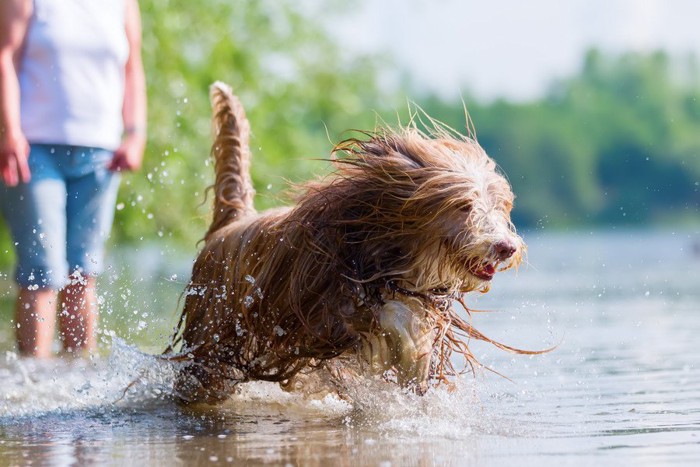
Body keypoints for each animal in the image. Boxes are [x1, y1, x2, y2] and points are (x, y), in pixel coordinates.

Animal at [170, 82, 528, 404]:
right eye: (463, 205)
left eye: (500, 206)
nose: (505, 247)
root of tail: (233, 221)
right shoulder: (325, 312)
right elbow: (387, 319)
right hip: (215, 331)